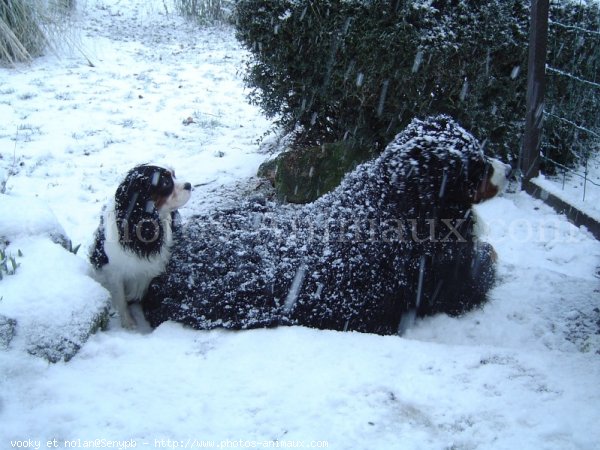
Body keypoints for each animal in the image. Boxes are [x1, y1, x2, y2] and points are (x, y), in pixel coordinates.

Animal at [89, 163, 191, 328]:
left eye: (174, 175)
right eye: (165, 183)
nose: (189, 185)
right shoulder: (113, 271)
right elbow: (121, 299)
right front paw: (129, 324)